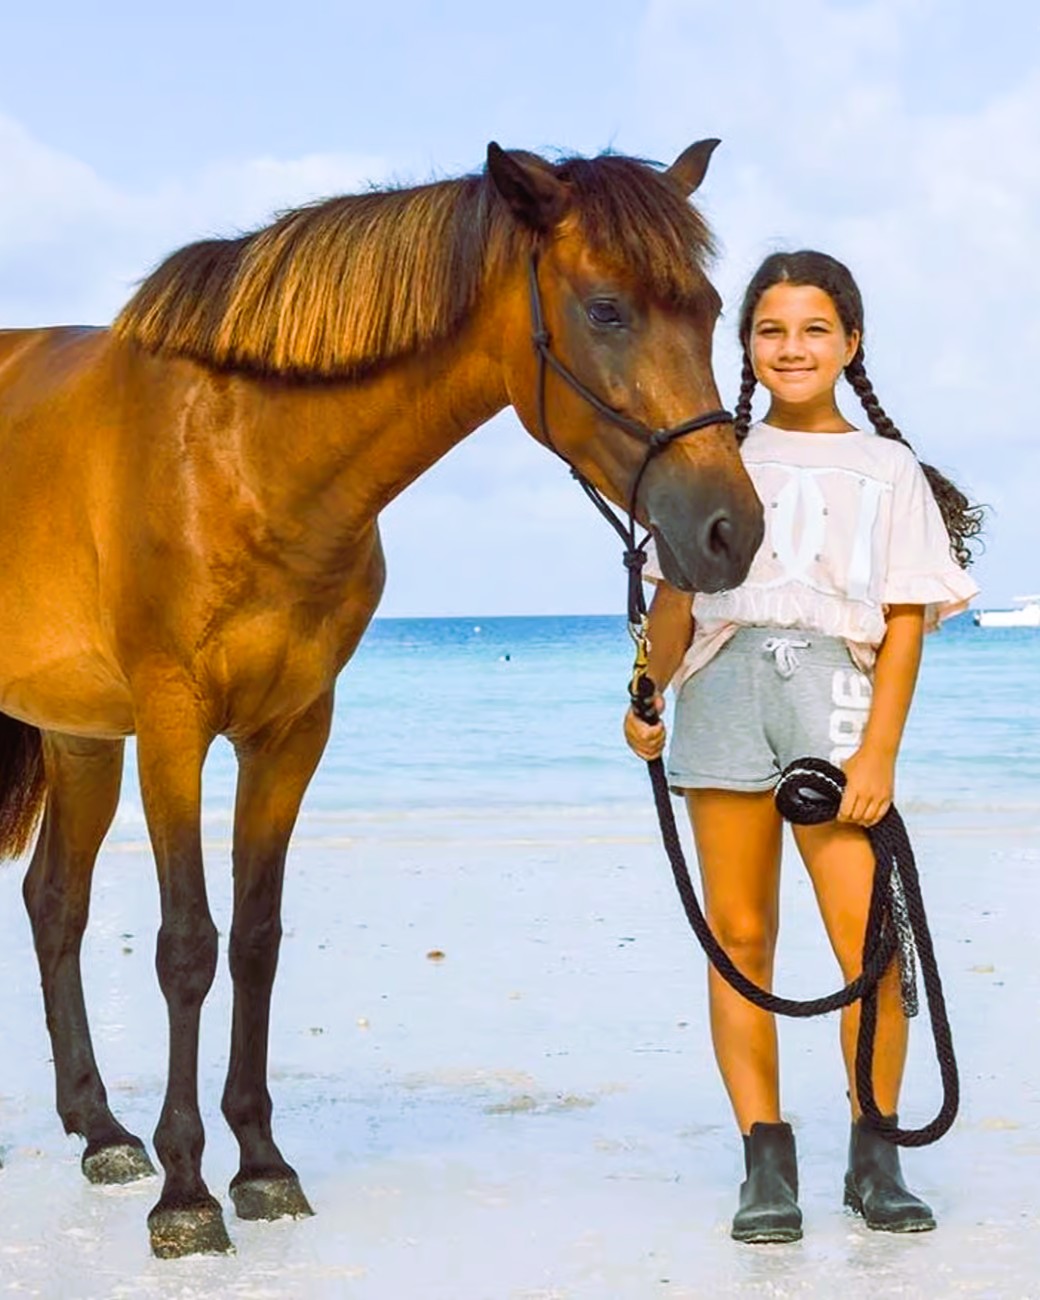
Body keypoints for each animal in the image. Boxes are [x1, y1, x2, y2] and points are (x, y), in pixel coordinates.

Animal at [0, 139, 763, 1257]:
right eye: (605, 309)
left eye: (708, 311)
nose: (730, 531)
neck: (240, 453)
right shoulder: (173, 723)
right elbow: (188, 945)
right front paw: (186, 1194)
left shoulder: (290, 730)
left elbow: (256, 938)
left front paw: (260, 1165)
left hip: (77, 735)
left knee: (55, 901)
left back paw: (98, 1130)